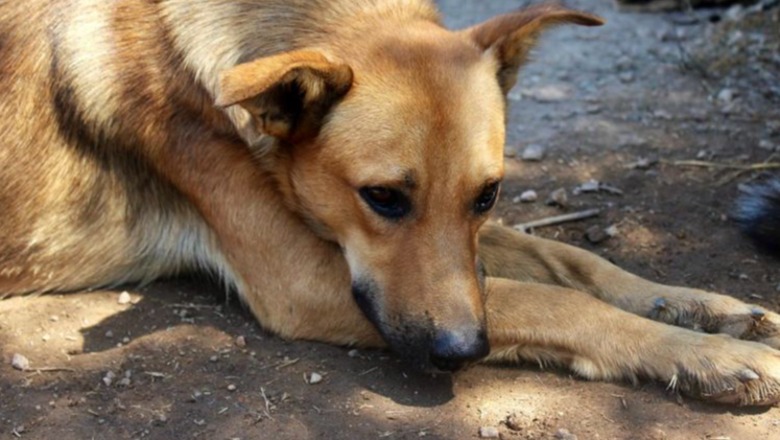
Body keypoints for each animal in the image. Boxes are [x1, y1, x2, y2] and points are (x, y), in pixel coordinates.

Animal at [1, 0, 780, 408]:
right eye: (381, 198)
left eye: (488, 195)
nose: (461, 353)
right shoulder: (304, 281)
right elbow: (553, 300)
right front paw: (708, 355)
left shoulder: (470, 244)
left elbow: (568, 258)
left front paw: (701, 308)